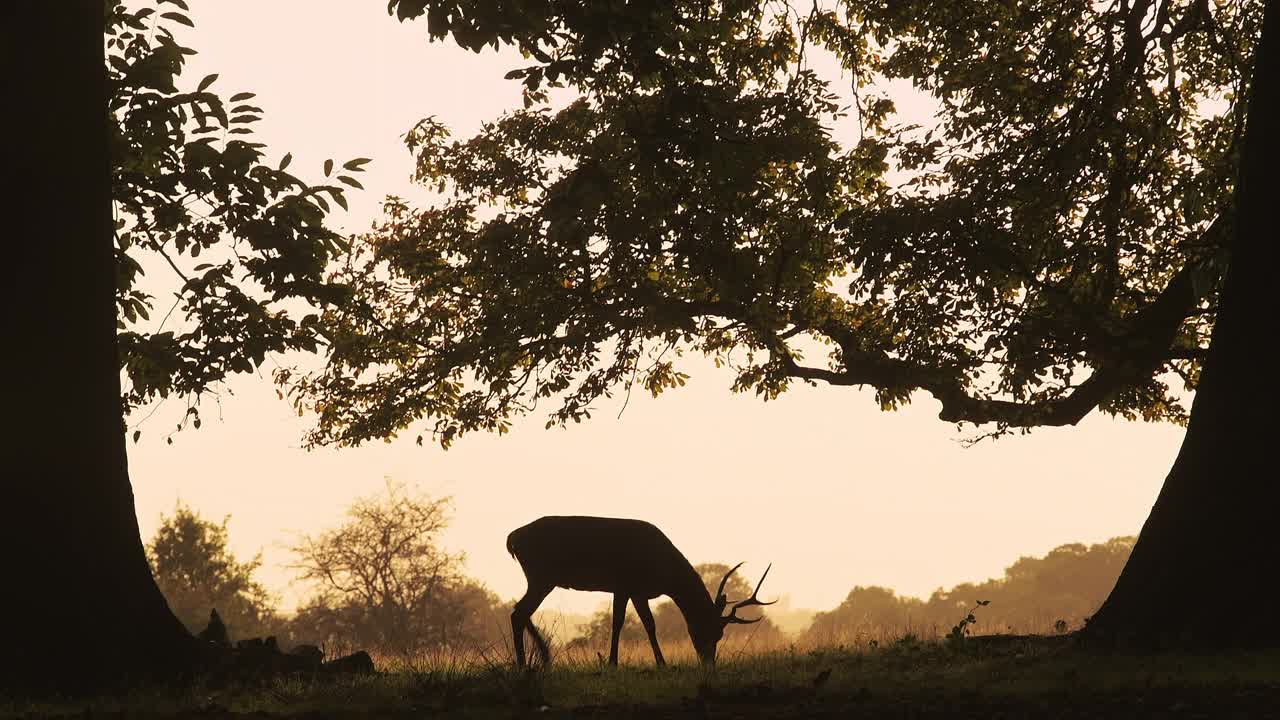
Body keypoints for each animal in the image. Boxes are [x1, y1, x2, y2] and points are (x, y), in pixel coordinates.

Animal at [506, 512, 768, 666]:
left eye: (720, 634)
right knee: (518, 612)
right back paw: (530, 662)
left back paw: (538, 659)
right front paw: (652, 663)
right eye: (710, 631)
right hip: (542, 577)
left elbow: (633, 623)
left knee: (519, 611)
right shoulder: (629, 585)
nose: (708, 663)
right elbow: (635, 623)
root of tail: (512, 539)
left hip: (541, 578)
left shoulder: (630, 590)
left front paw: (618, 662)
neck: (663, 571)